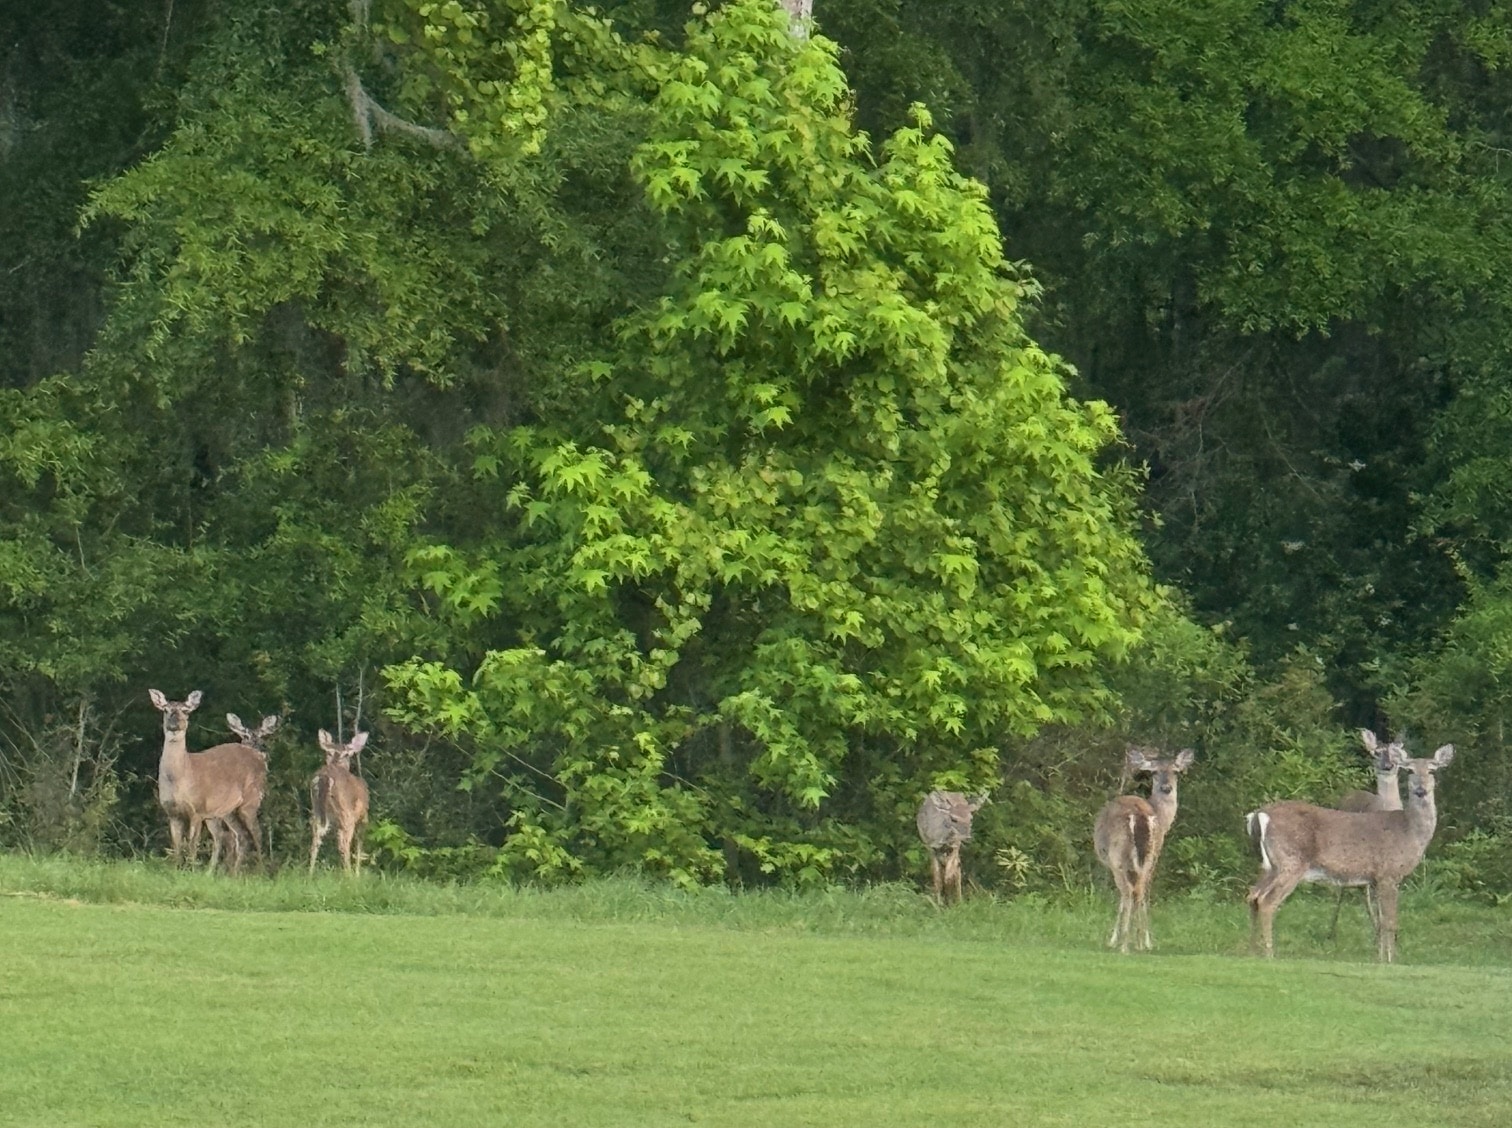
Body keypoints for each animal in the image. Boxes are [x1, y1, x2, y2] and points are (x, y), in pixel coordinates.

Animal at [149, 689, 268, 874]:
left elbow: (192, 845)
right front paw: (175, 870)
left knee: (256, 834)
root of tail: (259, 758)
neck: (182, 777)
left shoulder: (197, 809)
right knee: (237, 836)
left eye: (186, 711)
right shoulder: (172, 813)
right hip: (225, 811)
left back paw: (260, 872)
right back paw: (229, 873)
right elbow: (176, 847)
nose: (174, 724)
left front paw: (190, 870)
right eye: (165, 710)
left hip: (251, 801)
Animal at [309, 728, 370, 875]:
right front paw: (358, 874)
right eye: (329, 752)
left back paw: (309, 874)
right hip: (346, 814)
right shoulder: (363, 815)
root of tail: (324, 777)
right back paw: (349, 875)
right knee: (343, 844)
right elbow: (359, 845)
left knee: (315, 839)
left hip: (317, 810)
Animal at [1093, 745, 1195, 953]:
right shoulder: (1154, 856)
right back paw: (1139, 942)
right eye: (1154, 772)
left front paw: (1113, 939)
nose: (1166, 788)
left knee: (1127, 892)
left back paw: (1124, 944)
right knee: (1140, 891)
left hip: (1118, 857)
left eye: (1176, 772)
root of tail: (1139, 814)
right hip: (1149, 855)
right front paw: (1145, 941)